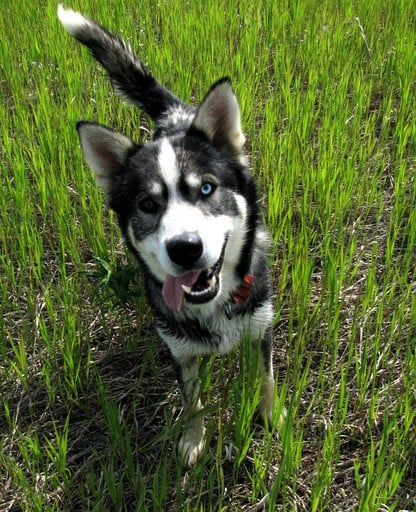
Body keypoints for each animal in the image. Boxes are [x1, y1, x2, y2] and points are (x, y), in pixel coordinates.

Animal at [57, 5, 282, 468]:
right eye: (147, 204)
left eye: (207, 188)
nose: (185, 249)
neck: (213, 306)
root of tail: (175, 116)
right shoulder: (180, 350)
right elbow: (192, 400)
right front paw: (194, 439)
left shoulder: (261, 323)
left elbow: (267, 377)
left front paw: (270, 415)